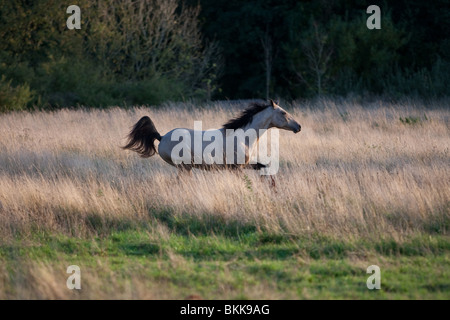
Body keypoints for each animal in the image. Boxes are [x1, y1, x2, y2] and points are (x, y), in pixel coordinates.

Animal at [121, 99, 300, 175]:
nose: (298, 126)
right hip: (184, 166)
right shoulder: (236, 168)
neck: (242, 138)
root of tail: (162, 136)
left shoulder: (243, 166)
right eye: (283, 113)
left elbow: (262, 166)